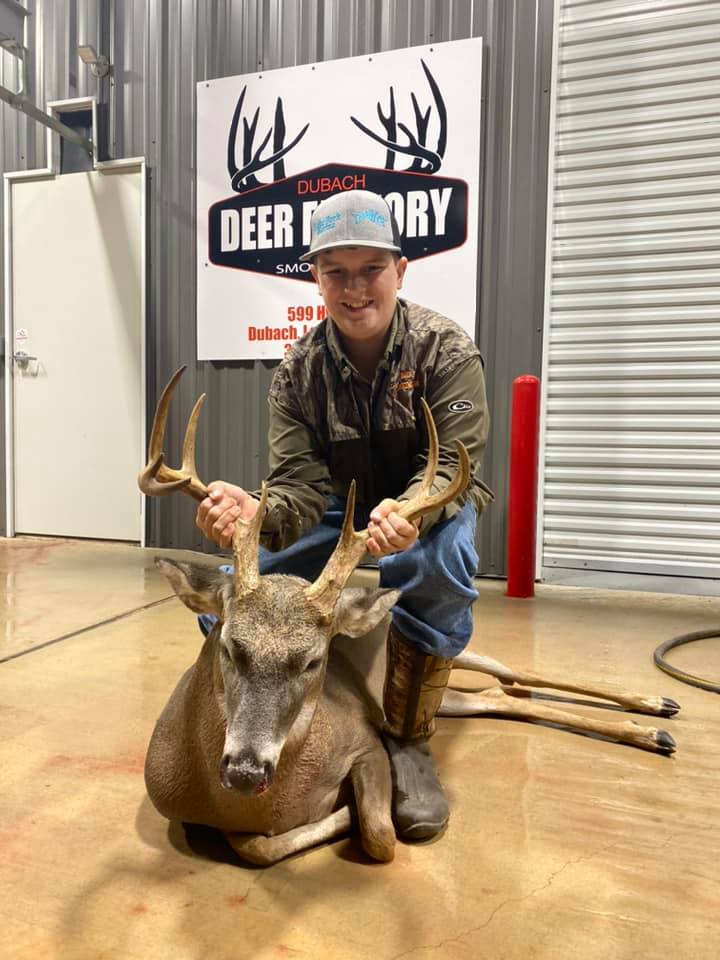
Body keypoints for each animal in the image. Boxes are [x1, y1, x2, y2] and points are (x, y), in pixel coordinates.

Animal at [138, 367, 680, 866]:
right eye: (230, 646)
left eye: (313, 661)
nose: (245, 772)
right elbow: (256, 846)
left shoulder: (366, 745)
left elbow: (381, 836)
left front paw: (351, 813)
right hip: (449, 697)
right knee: (498, 698)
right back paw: (651, 725)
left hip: (461, 649)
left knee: (515, 673)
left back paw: (657, 710)